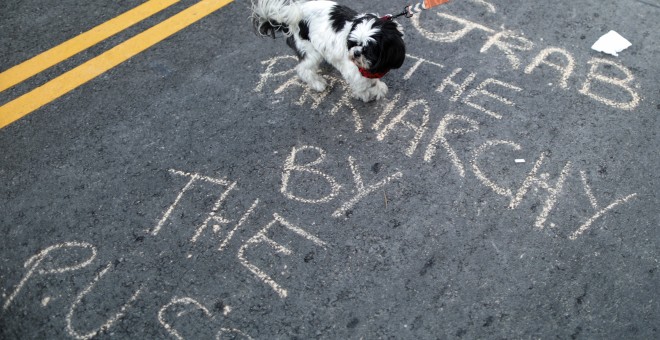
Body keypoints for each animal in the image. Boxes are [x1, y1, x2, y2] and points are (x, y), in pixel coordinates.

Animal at [253, 0, 408, 102]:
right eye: (353, 43)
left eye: (369, 50)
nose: (356, 53)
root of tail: (288, 17)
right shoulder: (353, 68)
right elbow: (363, 84)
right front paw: (370, 92)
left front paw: (376, 86)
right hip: (310, 50)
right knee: (303, 69)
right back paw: (317, 83)